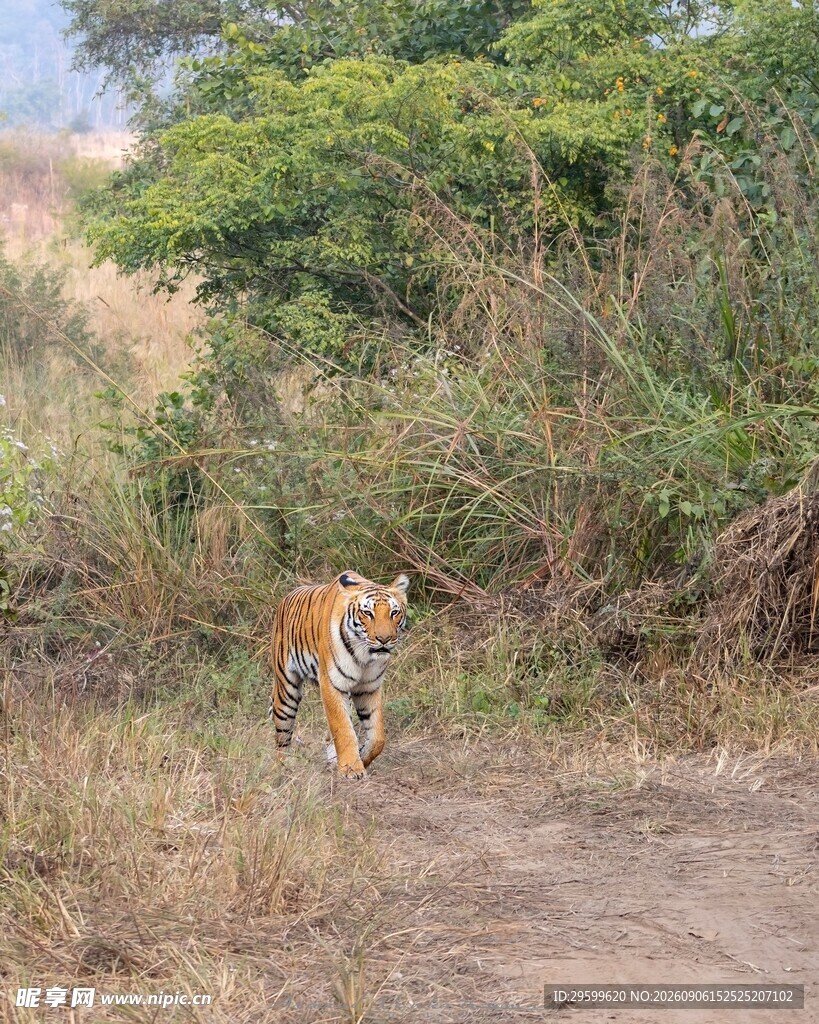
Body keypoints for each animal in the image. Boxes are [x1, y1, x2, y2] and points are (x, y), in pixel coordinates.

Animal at [270, 570, 410, 779]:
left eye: (394, 612)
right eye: (367, 613)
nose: (384, 639)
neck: (365, 657)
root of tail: (286, 597)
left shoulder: (369, 687)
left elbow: (377, 737)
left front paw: (362, 757)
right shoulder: (332, 684)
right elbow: (343, 728)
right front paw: (352, 768)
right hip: (286, 689)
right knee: (282, 736)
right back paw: (284, 768)